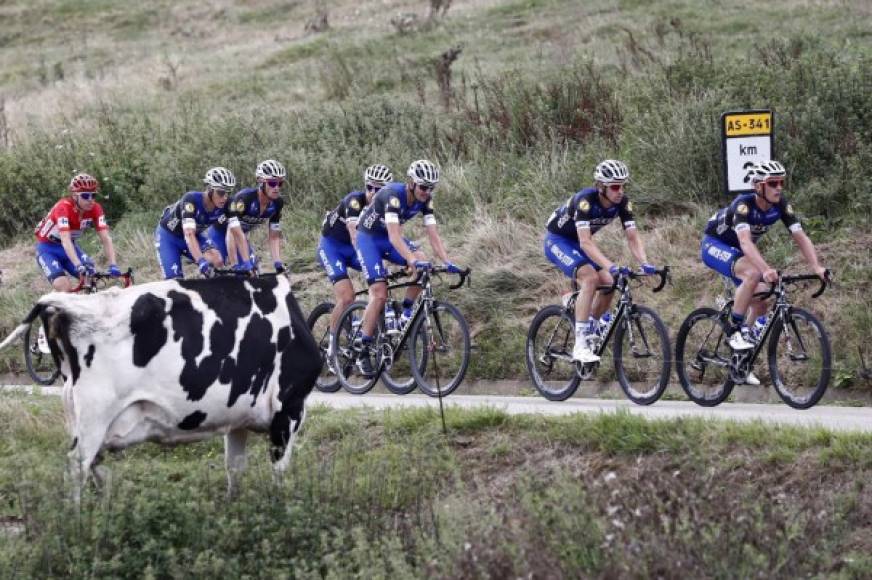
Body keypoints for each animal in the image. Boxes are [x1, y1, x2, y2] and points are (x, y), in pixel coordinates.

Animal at [0, 276, 320, 498]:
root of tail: (66, 304)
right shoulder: (289, 408)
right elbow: (279, 471)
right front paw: (277, 507)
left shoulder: (238, 416)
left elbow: (235, 468)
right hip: (94, 413)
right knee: (77, 467)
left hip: (79, 415)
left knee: (96, 469)